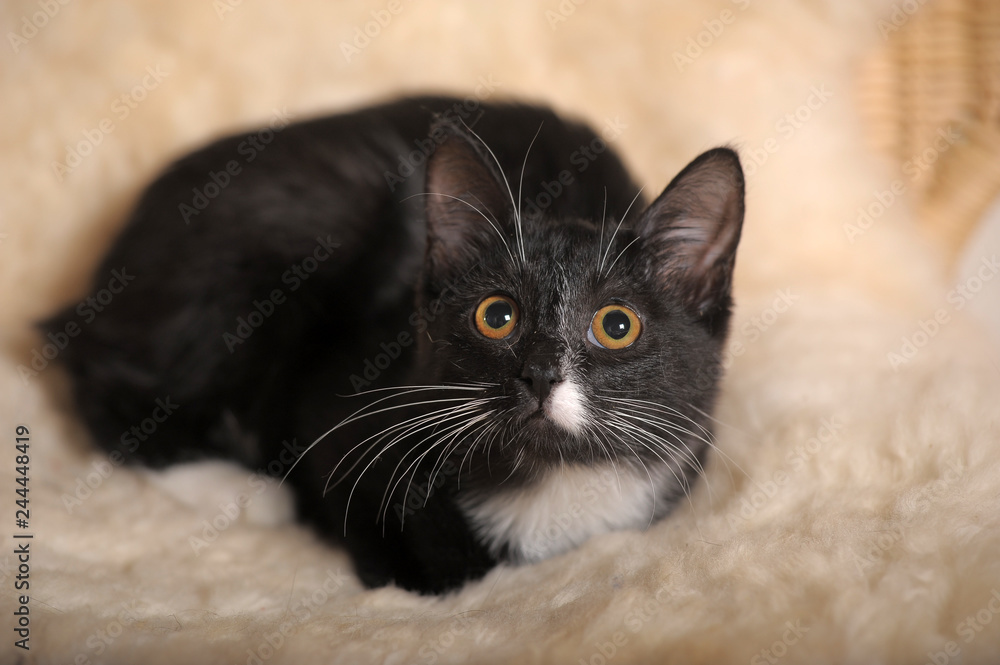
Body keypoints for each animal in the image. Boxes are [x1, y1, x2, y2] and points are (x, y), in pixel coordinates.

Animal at [47, 93, 744, 592]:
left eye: (616, 325)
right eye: (497, 315)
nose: (541, 373)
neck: (549, 483)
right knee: (108, 378)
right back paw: (239, 490)